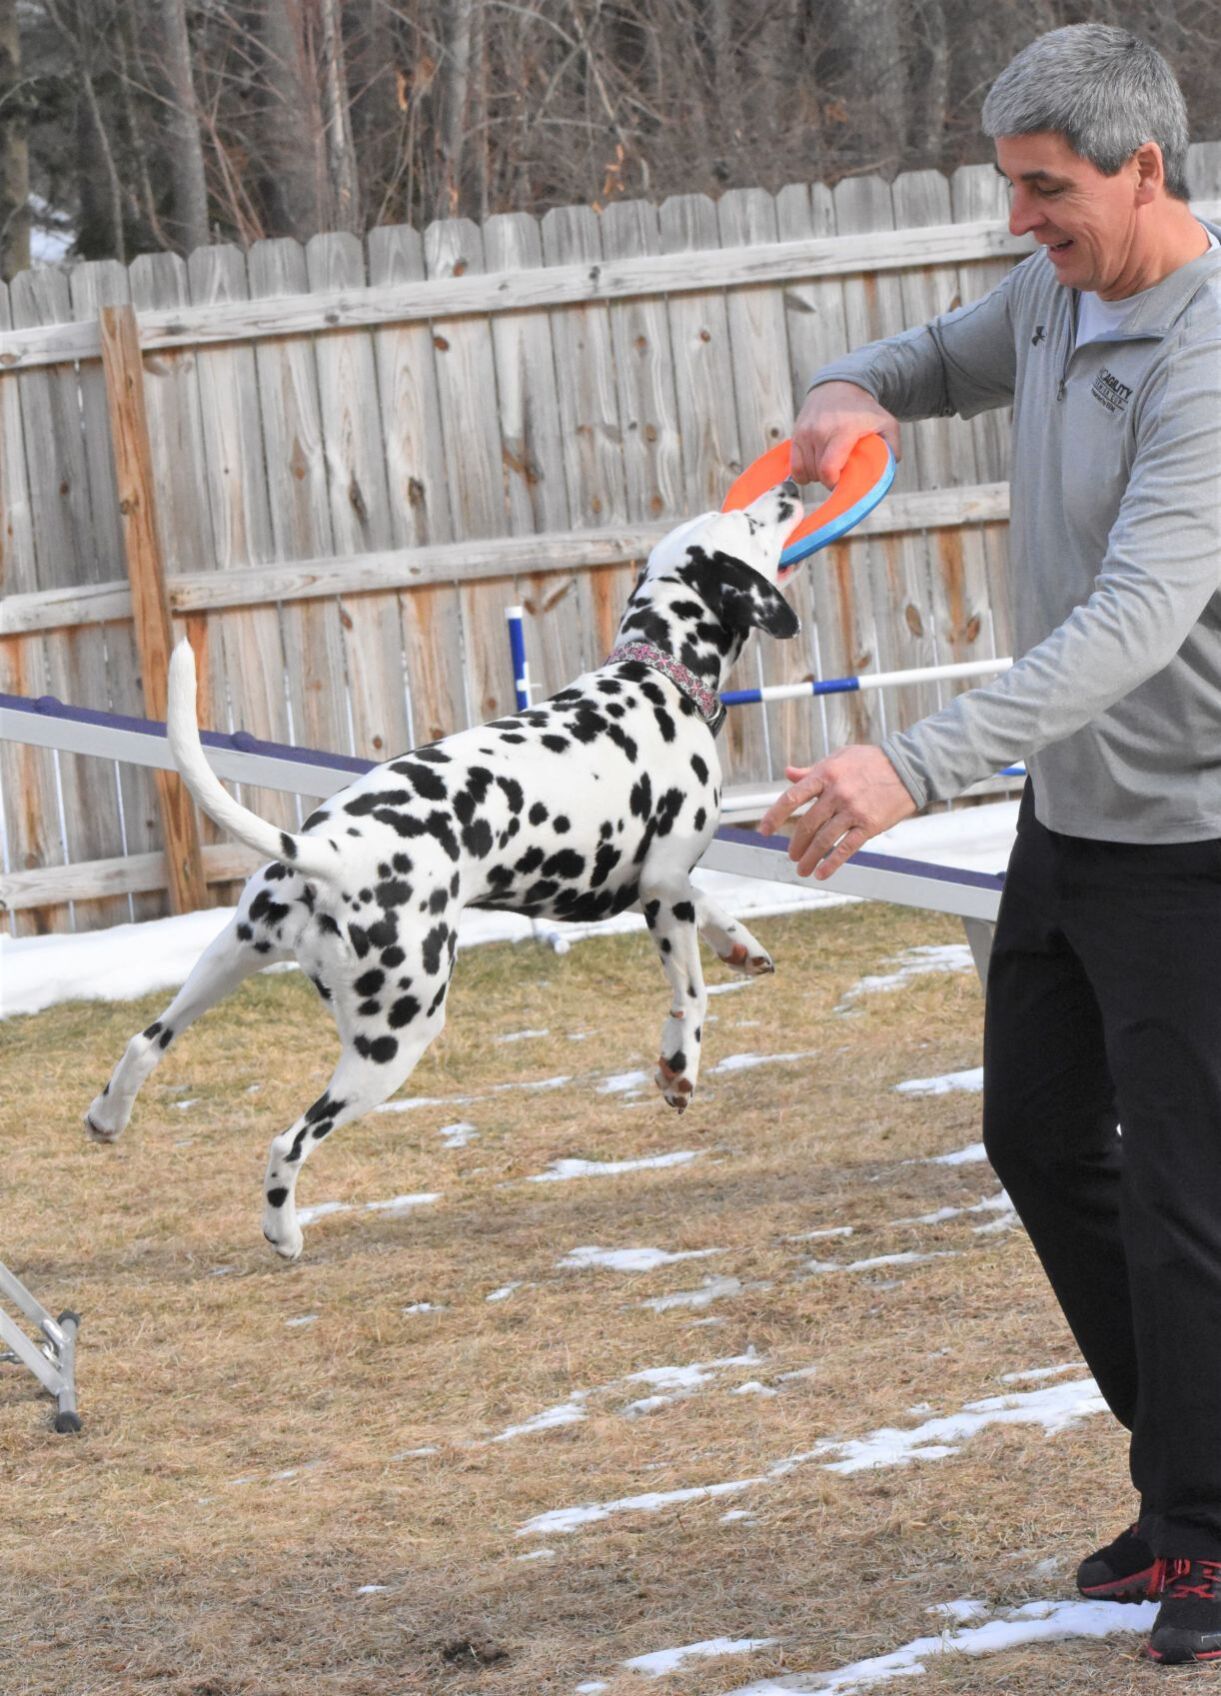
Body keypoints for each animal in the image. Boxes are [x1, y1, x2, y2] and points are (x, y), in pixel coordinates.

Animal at [88, 481, 810, 1261]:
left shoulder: (649, 886)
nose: (790, 487)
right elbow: (691, 997)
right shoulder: (661, 889)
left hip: (229, 959)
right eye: (746, 520)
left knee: (145, 1041)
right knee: (288, 1141)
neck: (656, 679)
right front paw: (680, 1068)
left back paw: (108, 1117)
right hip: (394, 1041)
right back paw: (283, 1231)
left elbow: (713, 908)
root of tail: (329, 852)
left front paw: (742, 943)